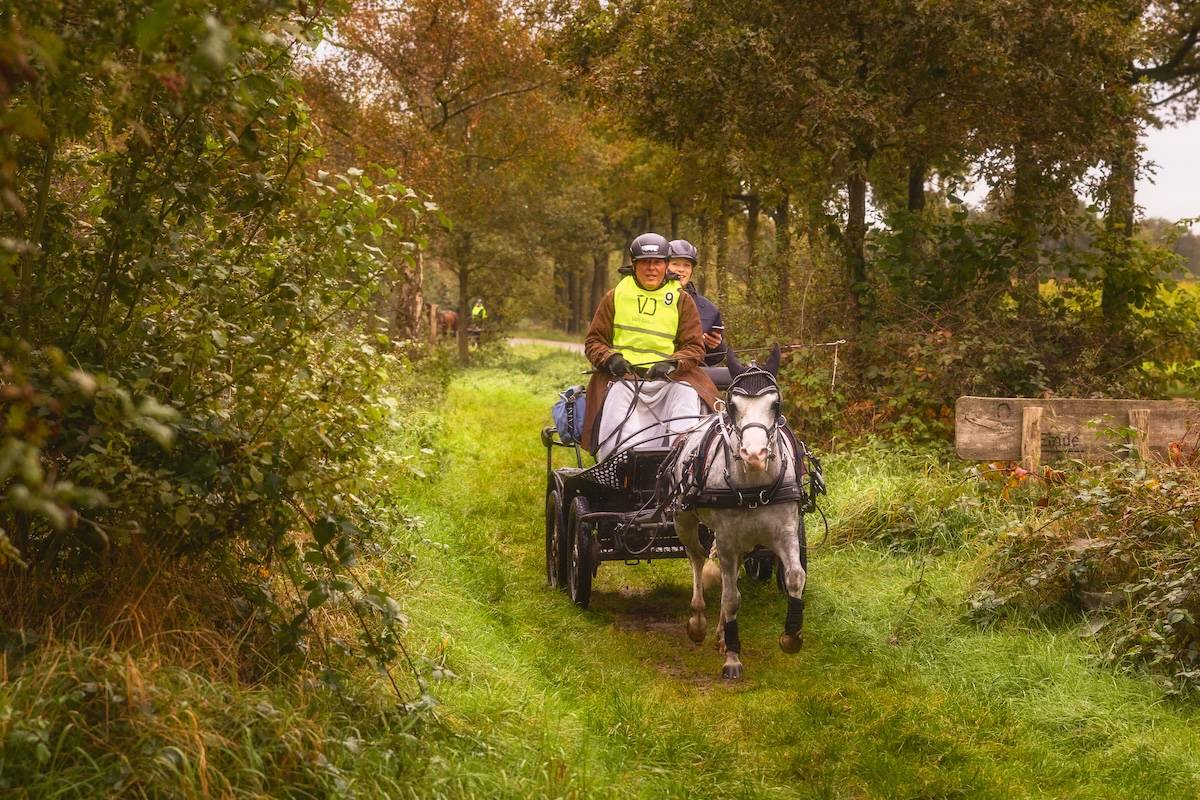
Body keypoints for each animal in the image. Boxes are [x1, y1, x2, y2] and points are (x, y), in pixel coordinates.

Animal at [661, 346, 810, 680]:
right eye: (732, 405)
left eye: (776, 403)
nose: (754, 454)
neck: (755, 485)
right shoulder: (727, 539)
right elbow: (730, 598)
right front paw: (732, 656)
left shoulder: (786, 531)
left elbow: (795, 577)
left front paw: (791, 637)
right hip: (684, 519)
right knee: (697, 559)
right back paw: (698, 622)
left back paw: (719, 633)